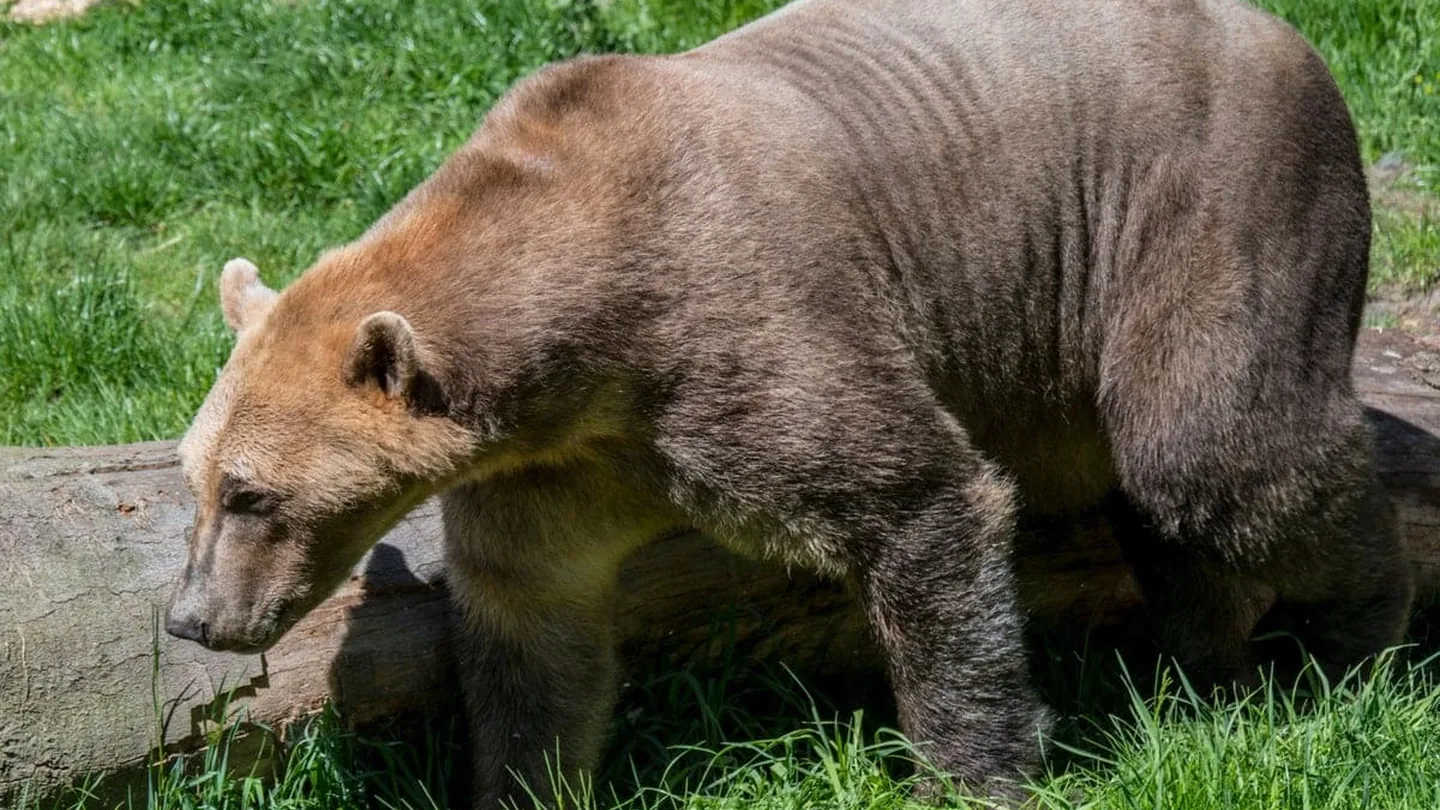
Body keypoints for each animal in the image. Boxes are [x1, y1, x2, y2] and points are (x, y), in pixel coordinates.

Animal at [164, 0, 1414, 804]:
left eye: (254, 493)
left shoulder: (740, 334)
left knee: (1219, 451)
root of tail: (1295, 39)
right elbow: (533, 623)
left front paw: (974, 770)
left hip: (1202, 204)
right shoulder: (562, 463)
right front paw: (525, 777)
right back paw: (1199, 660)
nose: (192, 618)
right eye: (197, 482)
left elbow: (919, 500)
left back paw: (1359, 633)